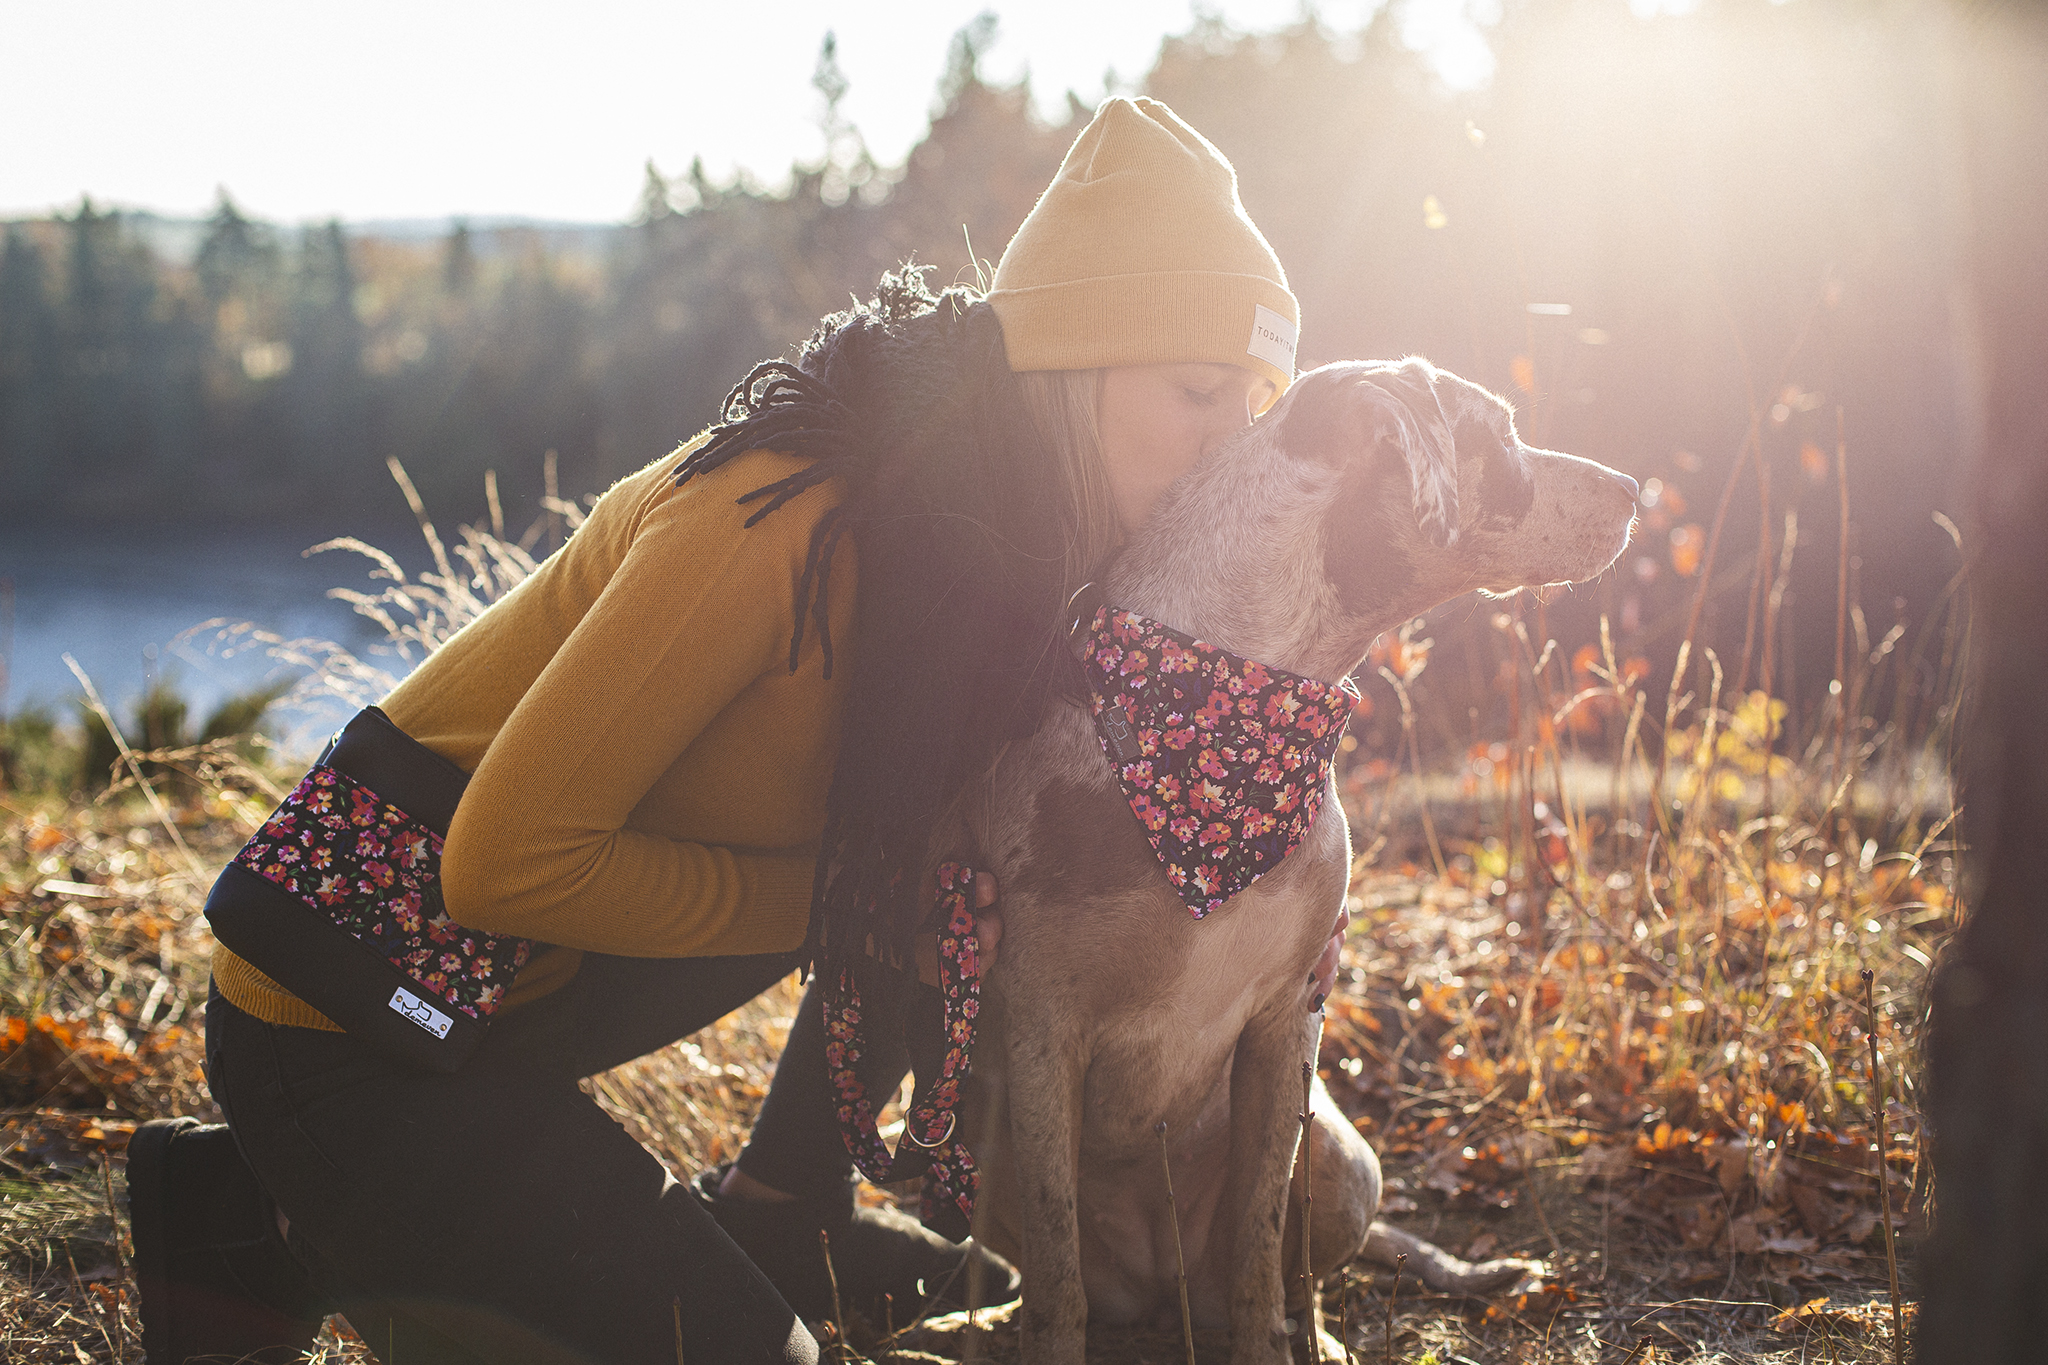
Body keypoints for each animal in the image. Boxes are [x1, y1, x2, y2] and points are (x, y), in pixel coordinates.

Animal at [946, 362, 1646, 1365]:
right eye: (1502, 433)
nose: (1634, 490)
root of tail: (1161, 1288)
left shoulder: (1288, 1022)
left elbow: (1259, 1237)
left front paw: (1271, 1337)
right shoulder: (1043, 1036)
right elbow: (1056, 1276)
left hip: (1344, 1158)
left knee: (1300, 1270)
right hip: (971, 1133)